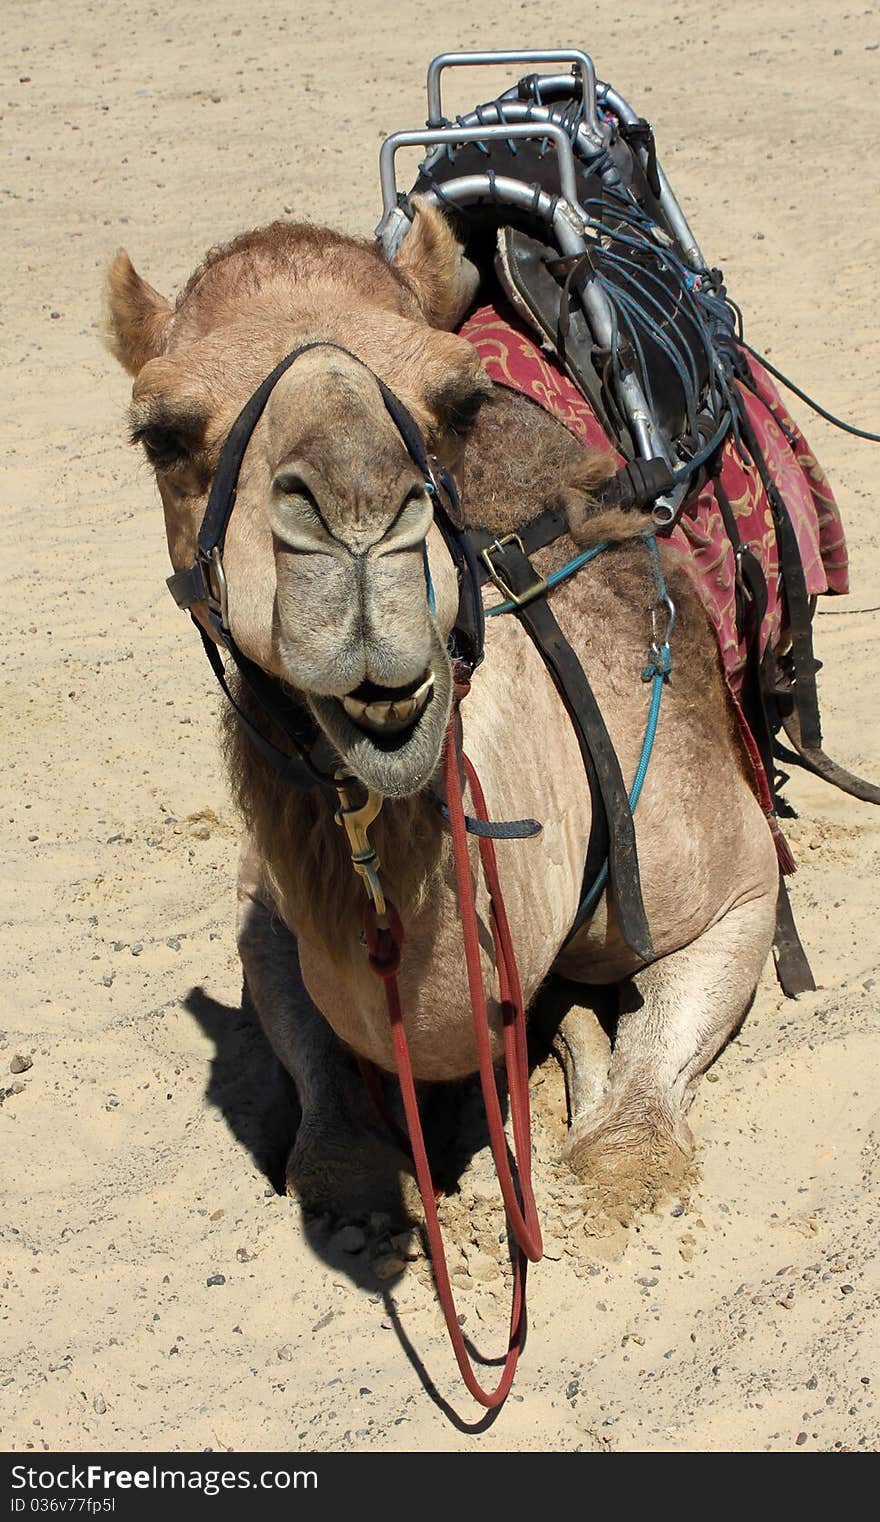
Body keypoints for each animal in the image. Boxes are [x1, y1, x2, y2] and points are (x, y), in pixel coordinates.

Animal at [104, 202, 773, 1217]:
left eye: (458, 402)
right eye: (161, 434)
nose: (358, 524)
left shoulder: (738, 882)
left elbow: (627, 1150)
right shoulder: (266, 911)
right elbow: (332, 1153)